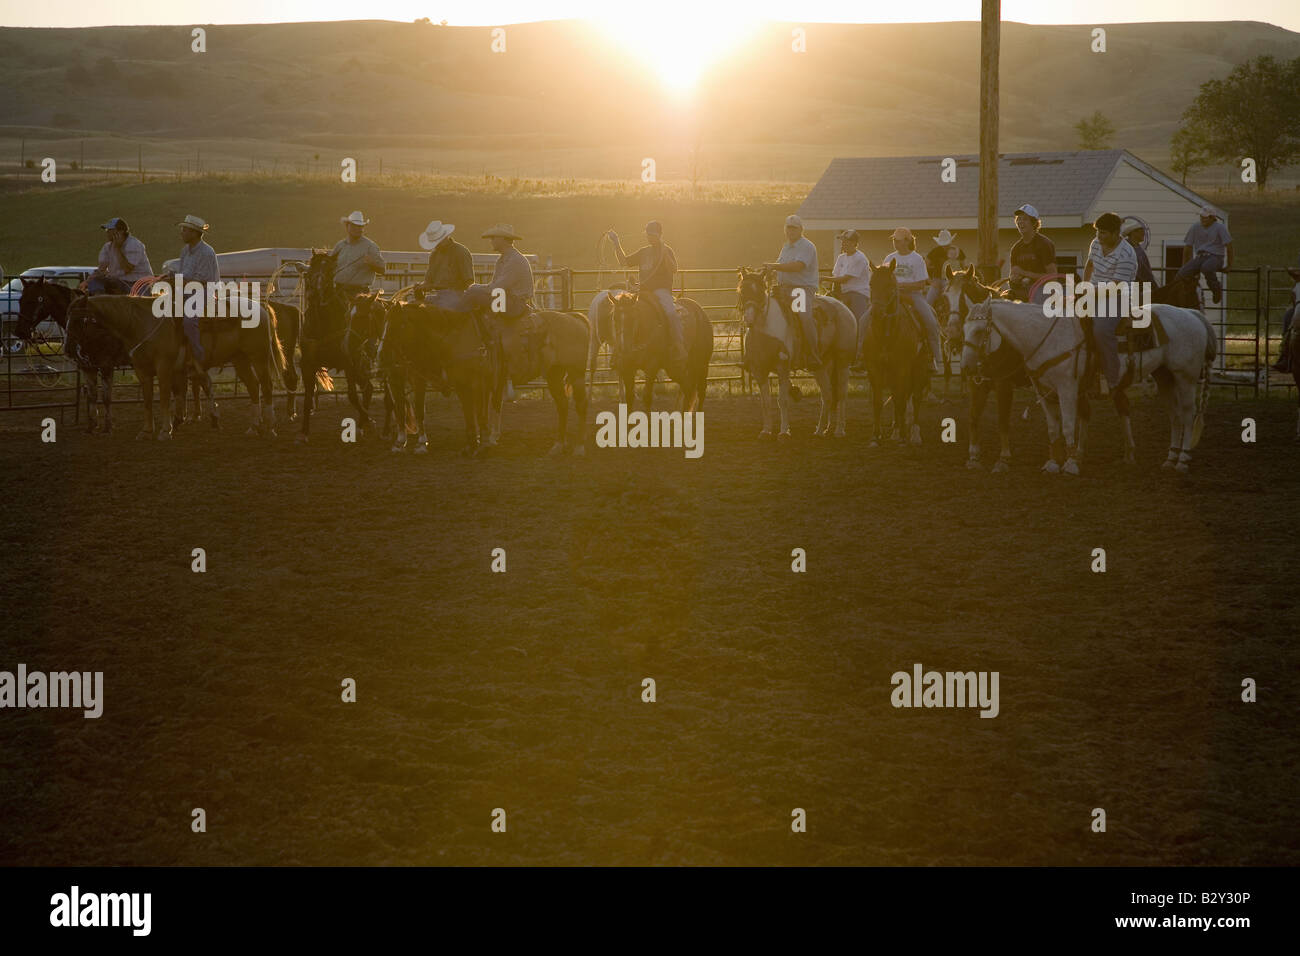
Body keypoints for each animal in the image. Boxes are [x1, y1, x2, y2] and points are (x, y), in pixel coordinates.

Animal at [65, 291, 287, 442]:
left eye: (78, 321)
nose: (67, 350)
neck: (141, 323)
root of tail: (261, 307)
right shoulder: (142, 370)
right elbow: (147, 401)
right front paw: (146, 431)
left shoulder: (164, 367)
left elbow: (164, 398)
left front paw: (166, 430)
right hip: (240, 359)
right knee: (254, 387)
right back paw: (254, 427)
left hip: (259, 357)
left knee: (267, 387)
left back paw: (270, 427)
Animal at [379, 303, 496, 460]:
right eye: (383, 324)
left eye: (397, 325)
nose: (381, 354)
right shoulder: (460, 384)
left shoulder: (474, 382)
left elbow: (476, 412)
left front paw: (421, 444)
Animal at [863, 260, 935, 450]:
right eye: (871, 284)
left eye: (889, 286)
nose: (877, 313)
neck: (886, 335)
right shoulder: (875, 368)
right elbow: (878, 403)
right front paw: (875, 437)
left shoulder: (902, 368)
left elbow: (903, 402)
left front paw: (903, 437)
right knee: (897, 397)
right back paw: (895, 431)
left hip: (919, 369)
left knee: (915, 399)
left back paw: (914, 434)